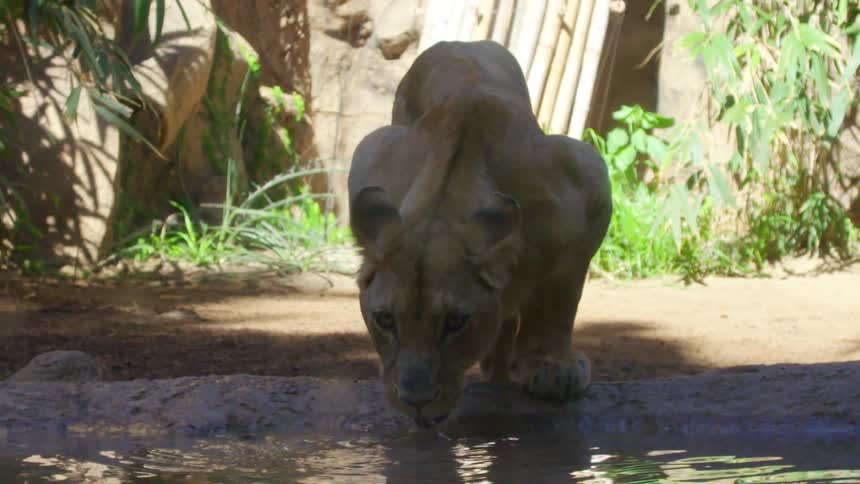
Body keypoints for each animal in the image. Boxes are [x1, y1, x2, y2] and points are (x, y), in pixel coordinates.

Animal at [347, 40, 612, 428]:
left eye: (456, 322)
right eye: (385, 320)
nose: (415, 401)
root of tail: (456, 42)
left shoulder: (589, 178)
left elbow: (560, 297)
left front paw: (552, 367)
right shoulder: (370, 154)